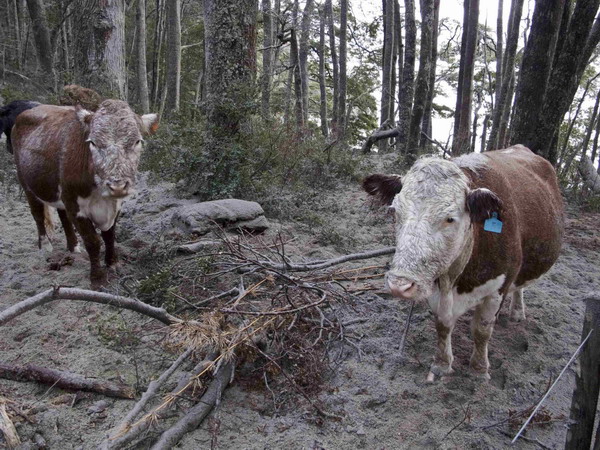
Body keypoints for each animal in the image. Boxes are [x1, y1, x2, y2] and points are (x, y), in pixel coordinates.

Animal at [12, 100, 159, 286]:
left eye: (137, 141)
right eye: (93, 142)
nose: (117, 186)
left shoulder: (115, 205)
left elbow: (109, 235)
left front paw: (113, 264)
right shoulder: (76, 206)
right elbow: (93, 241)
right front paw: (97, 278)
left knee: (63, 216)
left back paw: (73, 247)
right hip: (26, 184)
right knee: (37, 215)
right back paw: (45, 246)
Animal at [364, 146, 564, 382]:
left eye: (450, 218)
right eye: (395, 210)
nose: (400, 285)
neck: (455, 280)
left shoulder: (498, 288)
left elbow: (482, 330)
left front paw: (479, 369)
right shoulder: (437, 288)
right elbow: (442, 325)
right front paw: (442, 364)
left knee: (520, 286)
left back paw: (516, 312)